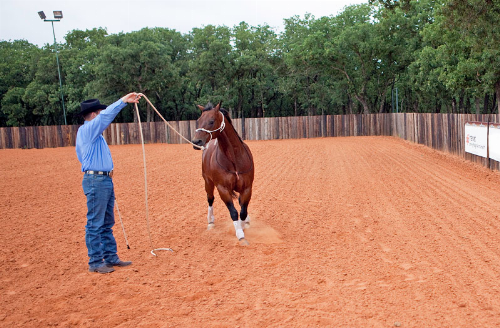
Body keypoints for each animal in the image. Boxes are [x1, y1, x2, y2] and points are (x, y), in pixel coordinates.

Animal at [191, 103, 254, 246]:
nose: (196, 142)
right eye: (198, 120)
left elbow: (243, 211)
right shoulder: (223, 189)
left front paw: (243, 225)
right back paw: (210, 222)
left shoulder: (247, 188)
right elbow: (234, 212)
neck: (234, 159)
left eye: (211, 121)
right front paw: (240, 235)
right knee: (210, 199)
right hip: (208, 182)